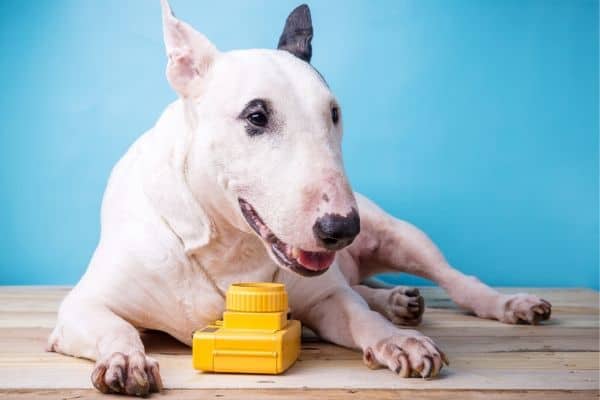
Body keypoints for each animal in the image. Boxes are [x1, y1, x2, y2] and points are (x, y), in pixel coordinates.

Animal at [49, 1, 552, 396]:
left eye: (334, 113)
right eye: (256, 116)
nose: (342, 229)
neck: (225, 245)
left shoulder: (325, 300)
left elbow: (357, 315)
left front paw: (398, 340)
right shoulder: (82, 307)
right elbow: (115, 325)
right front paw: (125, 359)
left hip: (401, 235)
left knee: (453, 280)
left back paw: (502, 304)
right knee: (366, 288)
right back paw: (396, 300)